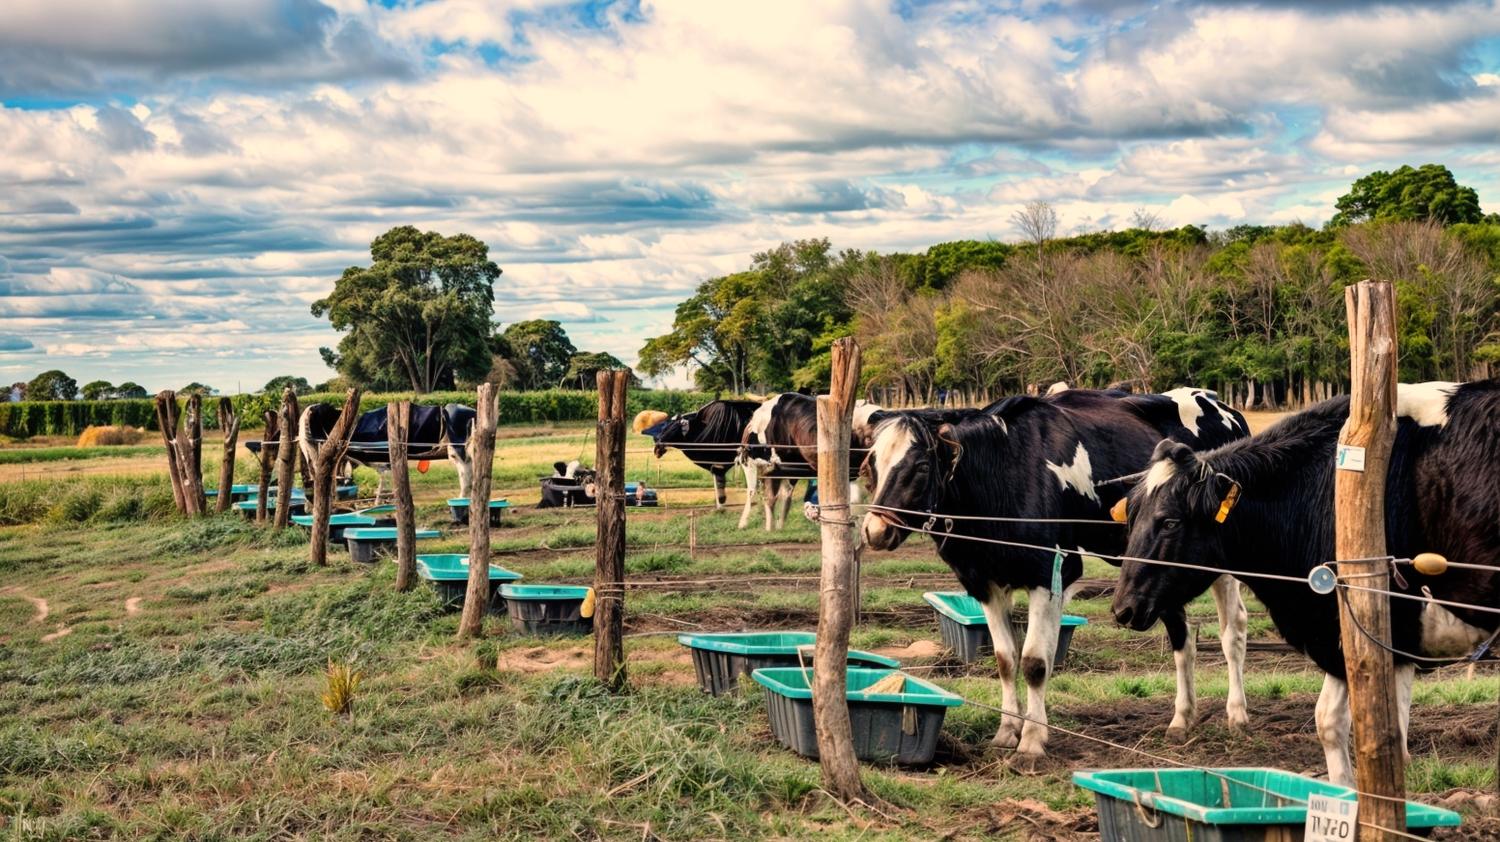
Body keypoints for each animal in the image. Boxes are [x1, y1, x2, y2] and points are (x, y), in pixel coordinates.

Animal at [859, 388, 1252, 764]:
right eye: (872, 464)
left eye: (922, 466)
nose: (874, 530)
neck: (1005, 473)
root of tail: (1220, 404)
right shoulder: (984, 582)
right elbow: (1005, 659)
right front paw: (1007, 732)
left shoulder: (1051, 573)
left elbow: (1034, 662)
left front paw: (1031, 742)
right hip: (1159, 572)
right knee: (1182, 637)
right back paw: (1182, 719)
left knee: (1232, 630)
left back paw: (1237, 713)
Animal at [1111, 380, 1500, 786]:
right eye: (1131, 516)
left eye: (1170, 522)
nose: (1123, 608)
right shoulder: (1370, 638)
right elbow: (1362, 722)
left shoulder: (1360, 630)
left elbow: (1357, 727)